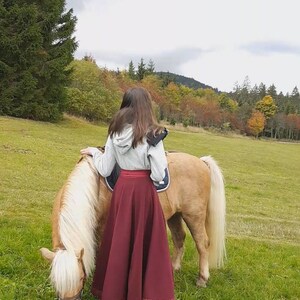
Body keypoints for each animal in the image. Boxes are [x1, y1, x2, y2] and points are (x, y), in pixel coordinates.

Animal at [39, 152, 225, 300]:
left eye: (79, 279)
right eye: (55, 283)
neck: (94, 189)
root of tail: (201, 162)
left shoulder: (103, 230)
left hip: (194, 216)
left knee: (202, 243)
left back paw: (202, 279)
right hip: (175, 215)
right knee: (179, 238)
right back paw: (174, 269)